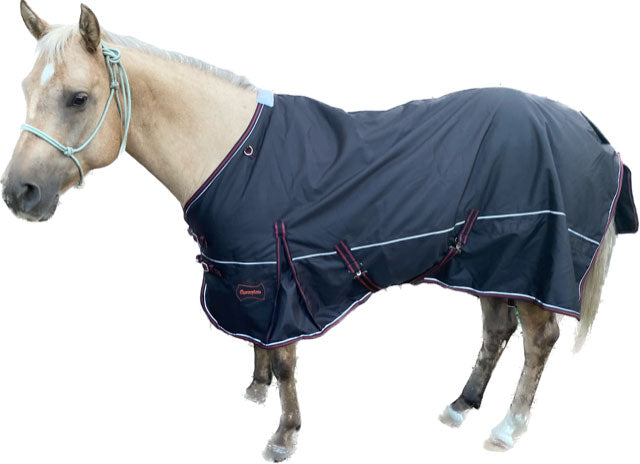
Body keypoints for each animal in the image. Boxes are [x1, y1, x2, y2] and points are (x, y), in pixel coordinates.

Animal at [2, 2, 637, 461]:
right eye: (26, 90)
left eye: (78, 98)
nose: (18, 194)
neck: (236, 152)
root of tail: (586, 125)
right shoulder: (249, 274)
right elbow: (259, 344)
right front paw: (255, 391)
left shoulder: (279, 276)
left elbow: (285, 359)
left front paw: (284, 434)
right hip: (491, 261)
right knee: (497, 331)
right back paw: (462, 404)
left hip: (532, 264)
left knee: (539, 339)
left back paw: (508, 426)